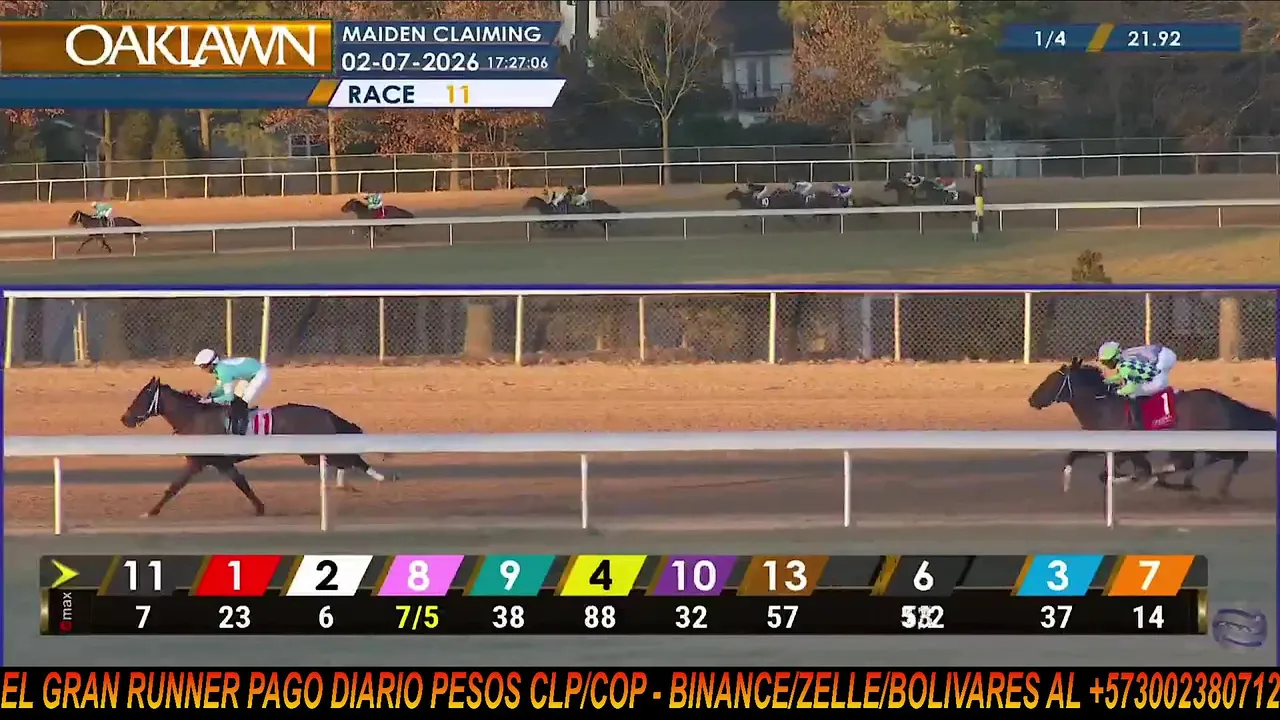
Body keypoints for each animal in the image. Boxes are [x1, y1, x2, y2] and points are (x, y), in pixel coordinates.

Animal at [120, 377, 399, 518]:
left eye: (143, 396)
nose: (125, 419)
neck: (195, 416)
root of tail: (326, 413)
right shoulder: (222, 463)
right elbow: (242, 483)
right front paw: (260, 508)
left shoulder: (198, 461)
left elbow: (174, 486)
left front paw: (151, 512)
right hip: (311, 453)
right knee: (344, 459)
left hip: (312, 451)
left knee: (351, 458)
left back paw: (380, 476)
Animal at [1027, 358, 1276, 498]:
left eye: (1052, 380)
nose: (1032, 399)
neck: (1103, 407)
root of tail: (1226, 401)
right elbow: (1075, 457)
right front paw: (1067, 482)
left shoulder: (1128, 450)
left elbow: (1118, 473)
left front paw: (1137, 480)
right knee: (1208, 460)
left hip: (1213, 435)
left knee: (1230, 456)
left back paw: (1207, 486)